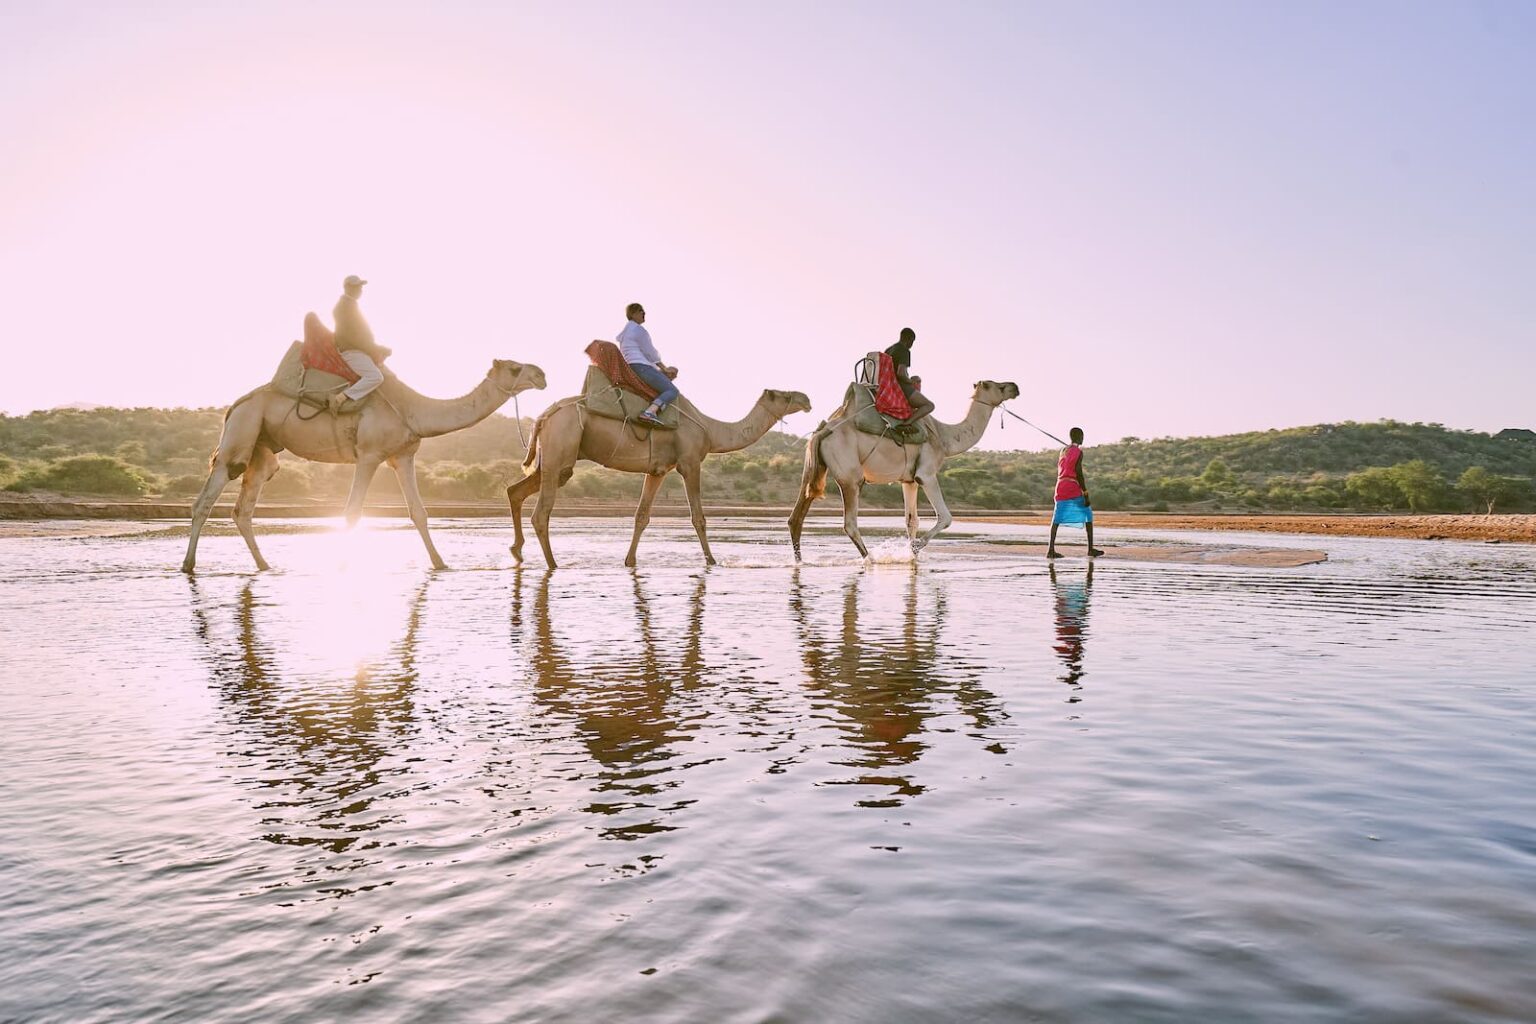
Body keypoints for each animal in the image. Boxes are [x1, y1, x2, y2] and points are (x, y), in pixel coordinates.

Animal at [182, 359, 546, 573]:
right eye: (515, 369)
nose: (542, 374)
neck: (413, 411)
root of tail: (233, 406)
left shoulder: (403, 456)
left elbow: (419, 512)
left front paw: (441, 564)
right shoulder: (369, 454)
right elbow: (352, 512)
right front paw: (344, 564)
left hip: (261, 448)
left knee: (243, 508)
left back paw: (264, 565)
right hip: (242, 432)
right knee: (207, 497)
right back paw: (188, 565)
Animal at [508, 388, 812, 568]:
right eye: (785, 396)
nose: (806, 399)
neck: (711, 430)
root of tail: (543, 416)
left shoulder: (657, 470)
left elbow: (642, 516)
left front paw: (629, 560)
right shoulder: (690, 462)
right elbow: (698, 518)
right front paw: (712, 560)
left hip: (551, 460)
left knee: (515, 490)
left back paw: (517, 550)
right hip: (560, 447)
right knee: (541, 512)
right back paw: (552, 564)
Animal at [788, 379, 1019, 560]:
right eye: (997, 386)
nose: (1015, 387)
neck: (943, 437)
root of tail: (823, 431)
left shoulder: (909, 480)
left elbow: (911, 521)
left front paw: (912, 556)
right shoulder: (926, 474)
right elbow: (945, 517)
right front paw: (916, 548)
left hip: (814, 467)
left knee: (797, 516)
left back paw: (800, 561)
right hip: (850, 476)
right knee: (850, 522)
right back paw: (870, 559)